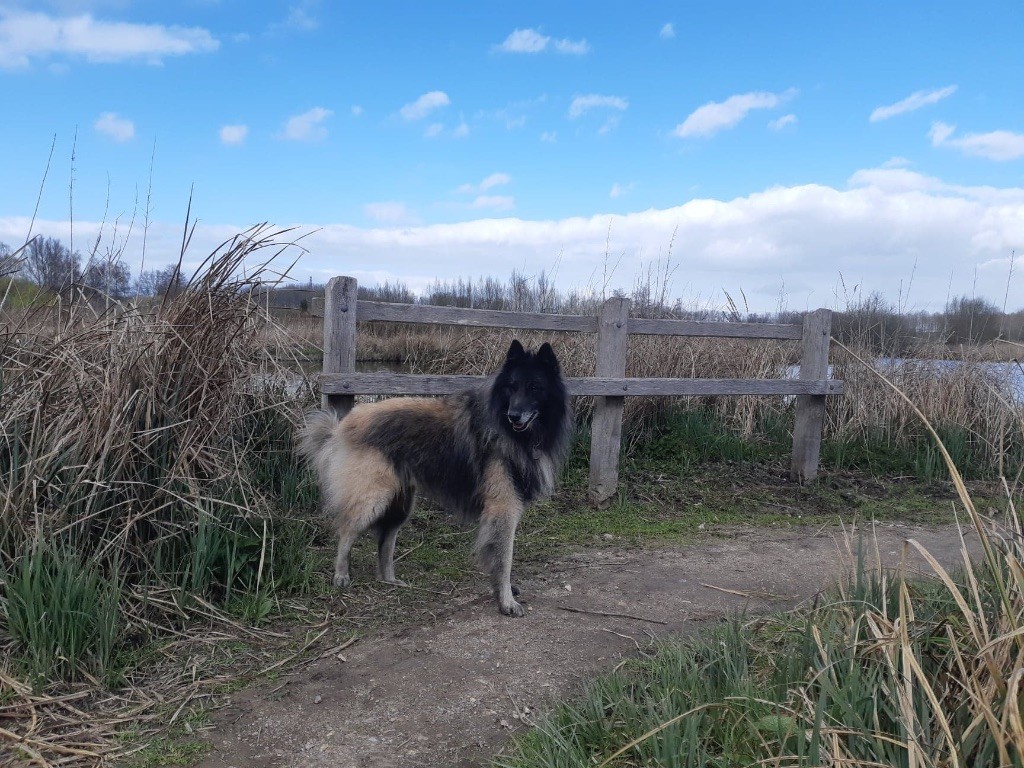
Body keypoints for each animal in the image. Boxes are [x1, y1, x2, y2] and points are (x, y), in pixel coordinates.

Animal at [298, 340, 572, 617]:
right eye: (512, 387)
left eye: (534, 387)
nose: (513, 415)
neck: (509, 429)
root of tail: (342, 425)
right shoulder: (503, 508)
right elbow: (504, 558)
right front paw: (506, 601)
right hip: (373, 498)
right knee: (346, 531)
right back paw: (341, 575)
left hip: (401, 504)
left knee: (385, 541)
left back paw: (389, 580)